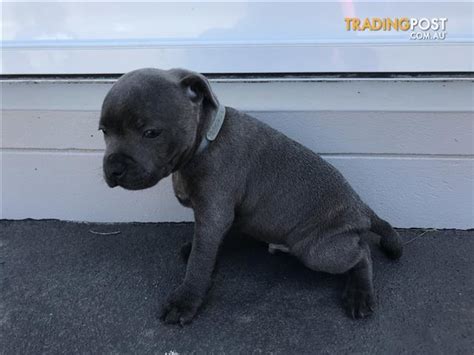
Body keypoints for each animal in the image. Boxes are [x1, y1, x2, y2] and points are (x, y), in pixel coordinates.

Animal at [98, 68, 402, 326]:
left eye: (150, 132)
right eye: (104, 131)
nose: (113, 169)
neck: (204, 141)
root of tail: (362, 209)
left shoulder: (214, 213)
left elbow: (199, 262)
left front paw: (185, 301)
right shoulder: (216, 218)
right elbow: (207, 246)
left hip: (319, 251)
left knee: (362, 253)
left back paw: (359, 294)